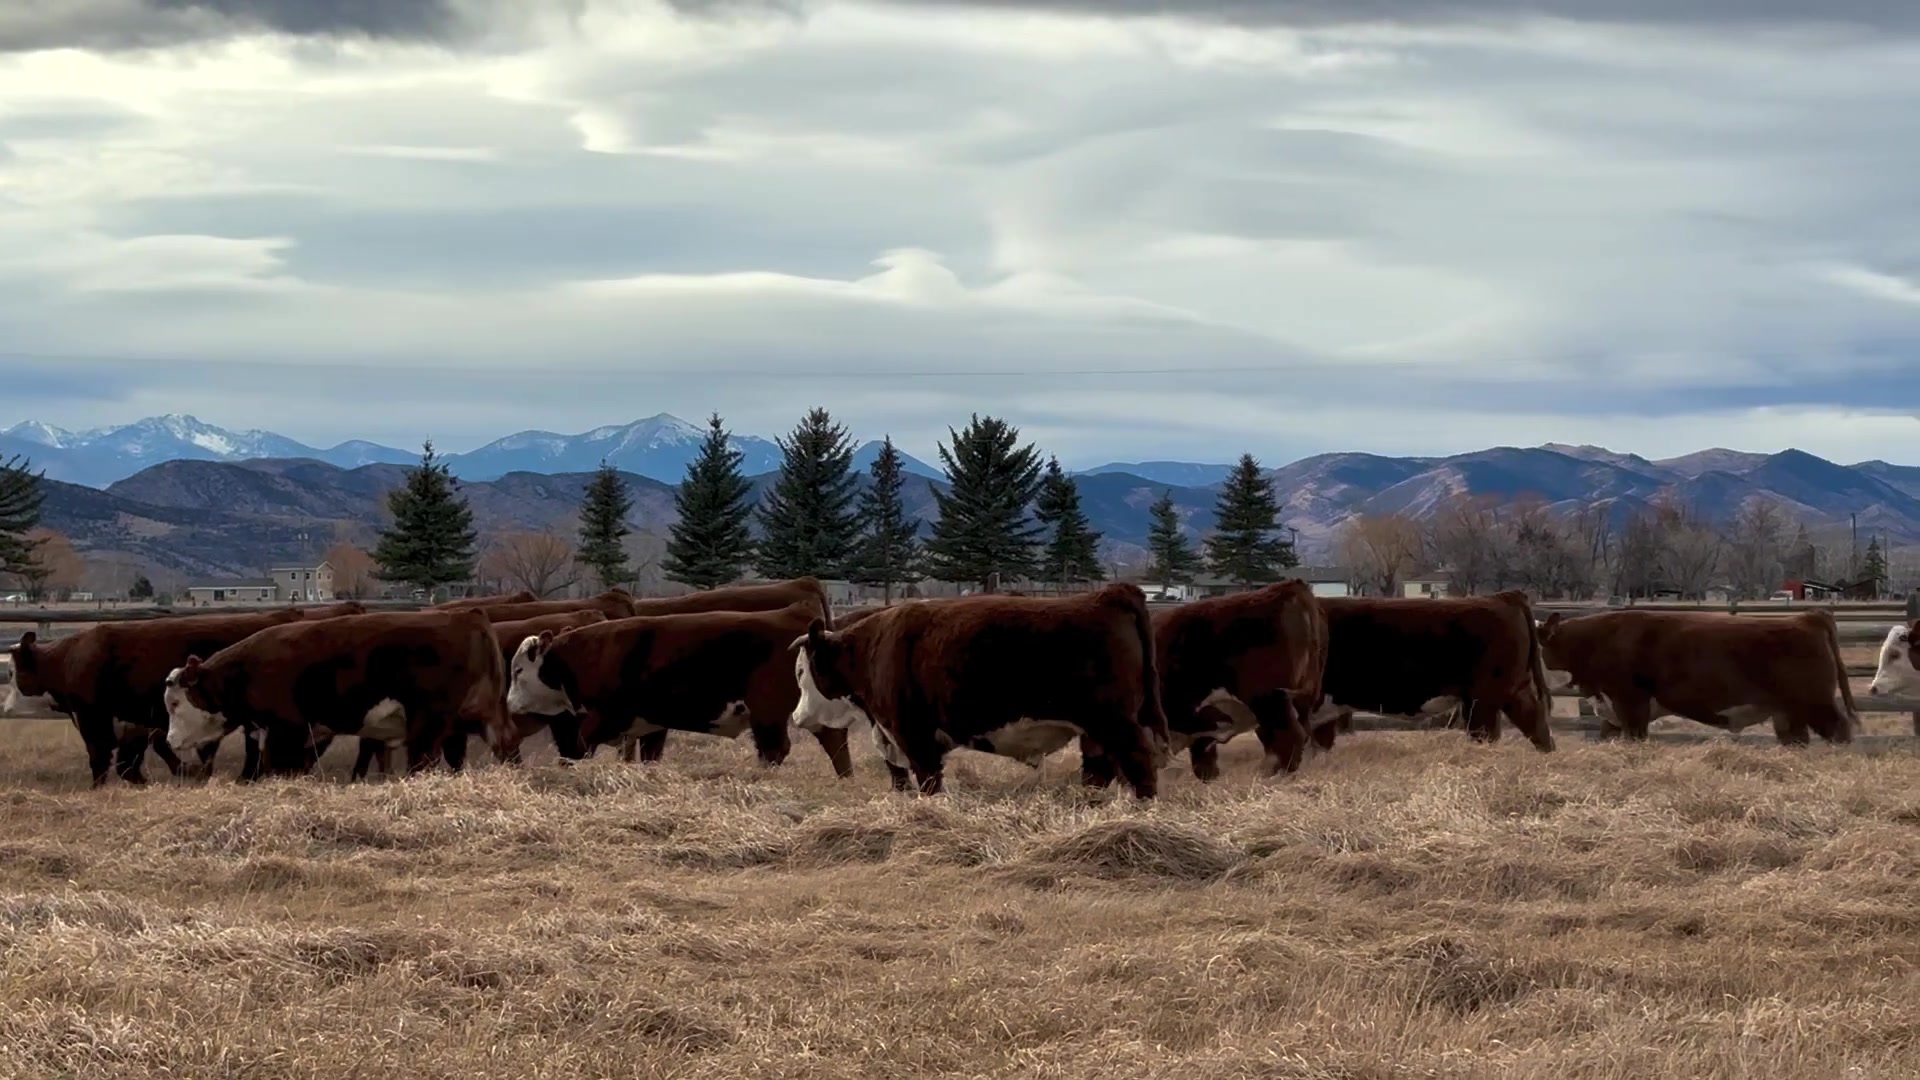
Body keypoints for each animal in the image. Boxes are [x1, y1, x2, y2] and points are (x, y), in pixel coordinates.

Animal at [3, 604, 362, 786]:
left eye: (11, 672)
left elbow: (103, 760)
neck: (70, 658)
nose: (5, 707)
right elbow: (131, 762)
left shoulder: (96, 719)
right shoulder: (135, 723)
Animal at [164, 609, 508, 778]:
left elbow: (278, 767)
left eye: (175, 703)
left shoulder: (286, 731)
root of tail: (468, 615)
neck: (246, 670)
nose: (170, 739)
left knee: (421, 760)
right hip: (480, 720)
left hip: (428, 723)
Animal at [504, 604, 816, 769]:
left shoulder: (604, 719)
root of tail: (790, 613)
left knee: (773, 749)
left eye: (518, 670)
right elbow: (648, 756)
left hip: (767, 714)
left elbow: (582, 748)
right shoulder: (652, 725)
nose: (508, 704)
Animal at [789, 583, 1169, 798]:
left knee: (1139, 762)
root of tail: (1109, 595)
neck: (874, 648)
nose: (796, 716)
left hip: (1116, 722)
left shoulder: (916, 738)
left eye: (800, 671)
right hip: (1096, 731)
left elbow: (929, 782)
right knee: (1100, 769)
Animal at [1539, 609, 1857, 744]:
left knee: (1840, 731)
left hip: (1817, 703)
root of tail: (1806, 618)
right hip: (1788, 713)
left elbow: (1635, 736)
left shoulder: (1629, 701)